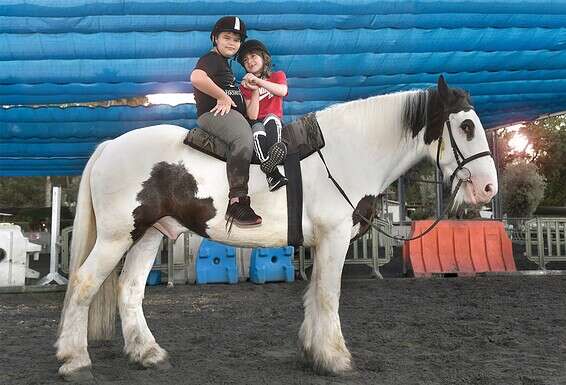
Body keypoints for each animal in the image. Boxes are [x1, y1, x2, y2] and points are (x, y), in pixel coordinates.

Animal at [57, 76, 500, 380]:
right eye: (466, 127)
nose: (488, 188)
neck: (347, 151)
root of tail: (110, 146)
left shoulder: (321, 243)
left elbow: (314, 295)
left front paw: (314, 352)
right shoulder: (335, 238)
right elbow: (328, 296)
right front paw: (336, 358)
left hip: (150, 233)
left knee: (129, 288)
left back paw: (147, 353)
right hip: (118, 236)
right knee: (84, 283)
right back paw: (74, 359)